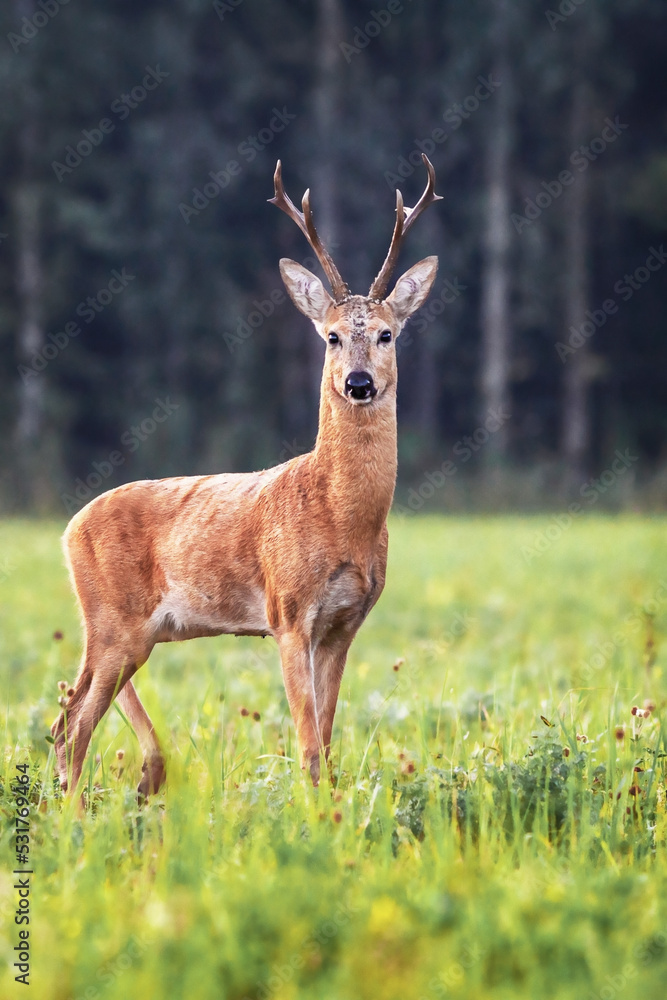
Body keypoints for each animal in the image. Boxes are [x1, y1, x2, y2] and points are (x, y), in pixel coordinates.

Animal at [49, 154, 440, 796]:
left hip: (122, 632)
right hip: (113, 622)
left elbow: (326, 740)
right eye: (332, 336)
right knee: (75, 724)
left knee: (64, 715)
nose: (358, 383)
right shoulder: (288, 611)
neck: (340, 514)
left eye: (387, 334)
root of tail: (67, 528)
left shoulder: (344, 624)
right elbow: (307, 745)